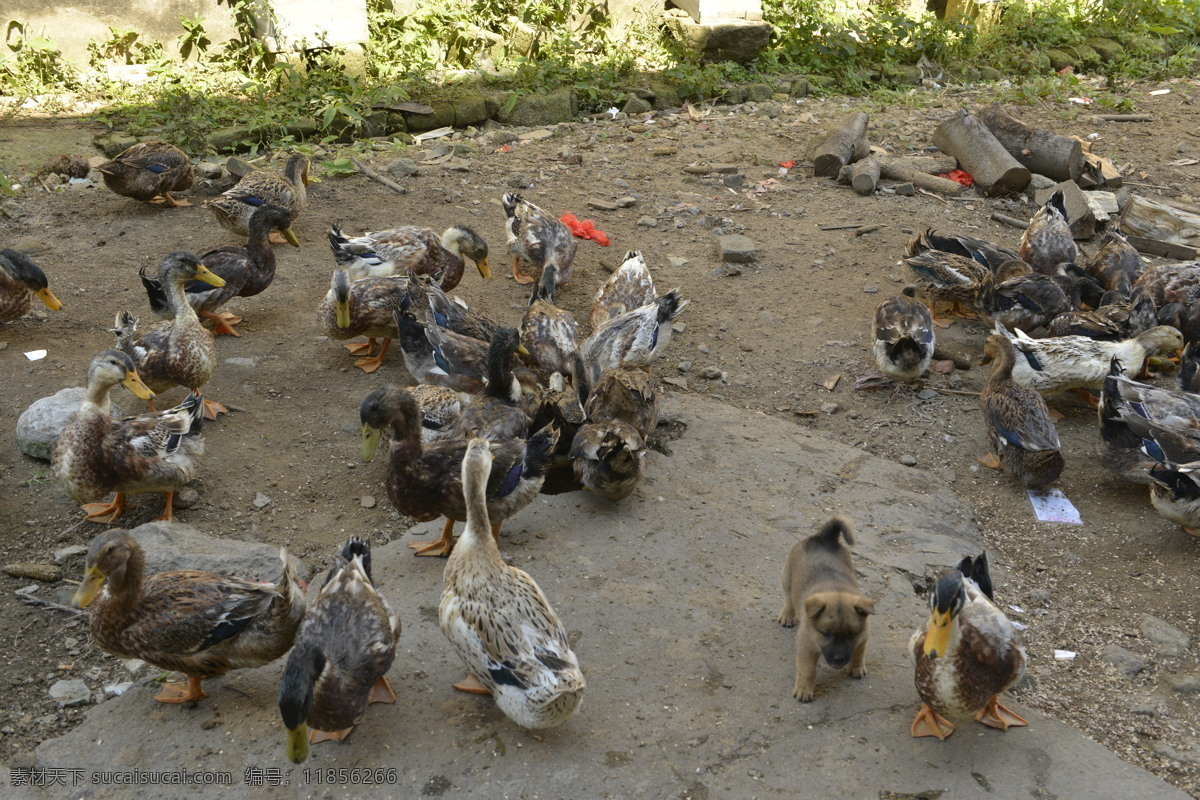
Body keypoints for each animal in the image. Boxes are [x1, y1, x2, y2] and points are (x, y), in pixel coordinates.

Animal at [772, 520, 878, 700]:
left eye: (851, 635)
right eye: (826, 634)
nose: (839, 659)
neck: (836, 590)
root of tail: (824, 537)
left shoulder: (863, 635)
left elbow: (859, 652)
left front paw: (856, 667)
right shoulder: (806, 644)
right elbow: (807, 670)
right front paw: (804, 690)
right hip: (787, 574)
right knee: (788, 597)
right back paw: (787, 615)